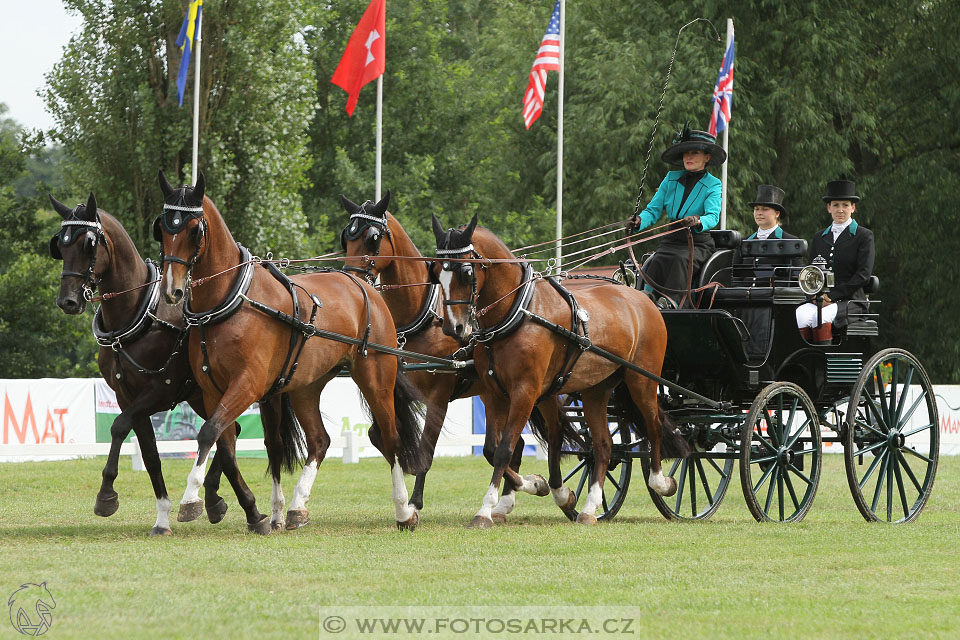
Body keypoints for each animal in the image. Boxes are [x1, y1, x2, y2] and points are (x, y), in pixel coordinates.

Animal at [49, 191, 276, 536]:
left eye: (89, 244)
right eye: (60, 247)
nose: (68, 301)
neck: (138, 315)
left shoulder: (160, 391)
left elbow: (119, 426)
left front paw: (106, 495)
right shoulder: (126, 396)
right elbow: (150, 455)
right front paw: (162, 518)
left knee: (227, 432)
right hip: (200, 395)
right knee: (231, 431)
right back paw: (213, 499)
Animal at [158, 170, 428, 528]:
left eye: (194, 229)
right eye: (162, 228)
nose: (172, 290)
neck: (229, 301)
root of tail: (363, 285)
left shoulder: (248, 384)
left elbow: (208, 433)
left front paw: (191, 499)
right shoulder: (214, 390)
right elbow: (231, 444)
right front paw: (266, 512)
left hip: (376, 377)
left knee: (391, 435)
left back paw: (403, 510)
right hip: (306, 387)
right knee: (319, 440)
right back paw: (298, 506)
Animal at [342, 191, 568, 520]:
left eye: (372, 238)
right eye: (346, 237)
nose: (350, 278)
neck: (424, 318)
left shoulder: (439, 395)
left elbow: (426, 448)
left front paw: (414, 503)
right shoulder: (398, 390)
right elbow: (380, 436)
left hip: (531, 391)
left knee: (544, 436)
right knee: (513, 445)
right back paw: (508, 499)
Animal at [432, 212, 688, 528]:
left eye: (467, 273)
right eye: (435, 271)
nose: (453, 328)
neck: (517, 312)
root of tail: (644, 300)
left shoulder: (525, 392)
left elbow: (505, 450)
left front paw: (487, 509)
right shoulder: (493, 394)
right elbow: (492, 449)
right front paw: (540, 486)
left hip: (641, 380)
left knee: (653, 426)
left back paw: (661, 482)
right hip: (596, 389)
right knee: (602, 445)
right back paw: (589, 508)